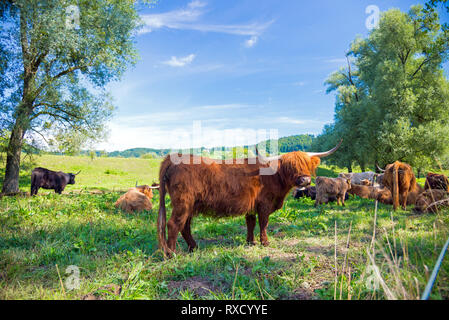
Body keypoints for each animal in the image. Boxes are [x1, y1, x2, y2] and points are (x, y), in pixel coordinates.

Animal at [156, 141, 342, 256]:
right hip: (183, 202)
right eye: (290, 166)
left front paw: (250, 242)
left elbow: (250, 223)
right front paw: (265, 242)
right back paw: (172, 253)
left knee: (184, 226)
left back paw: (193, 247)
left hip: (190, 205)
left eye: (306, 164)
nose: (305, 180)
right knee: (173, 224)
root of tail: (173, 158)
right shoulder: (264, 204)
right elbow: (264, 223)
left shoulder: (252, 206)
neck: (274, 177)